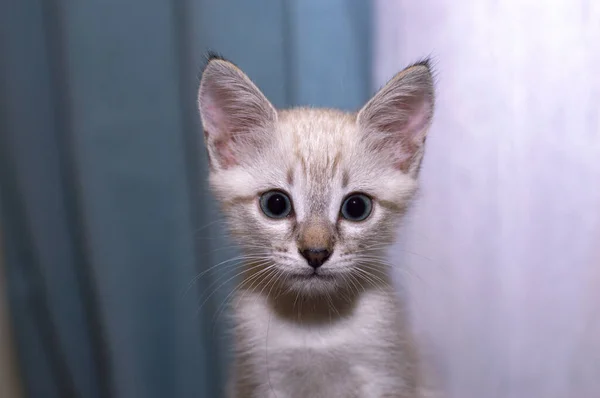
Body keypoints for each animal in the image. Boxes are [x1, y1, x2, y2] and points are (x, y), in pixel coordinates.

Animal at [199, 53, 434, 398]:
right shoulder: (262, 380)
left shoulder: (384, 375)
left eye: (356, 207)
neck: (314, 320)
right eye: (276, 204)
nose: (316, 253)